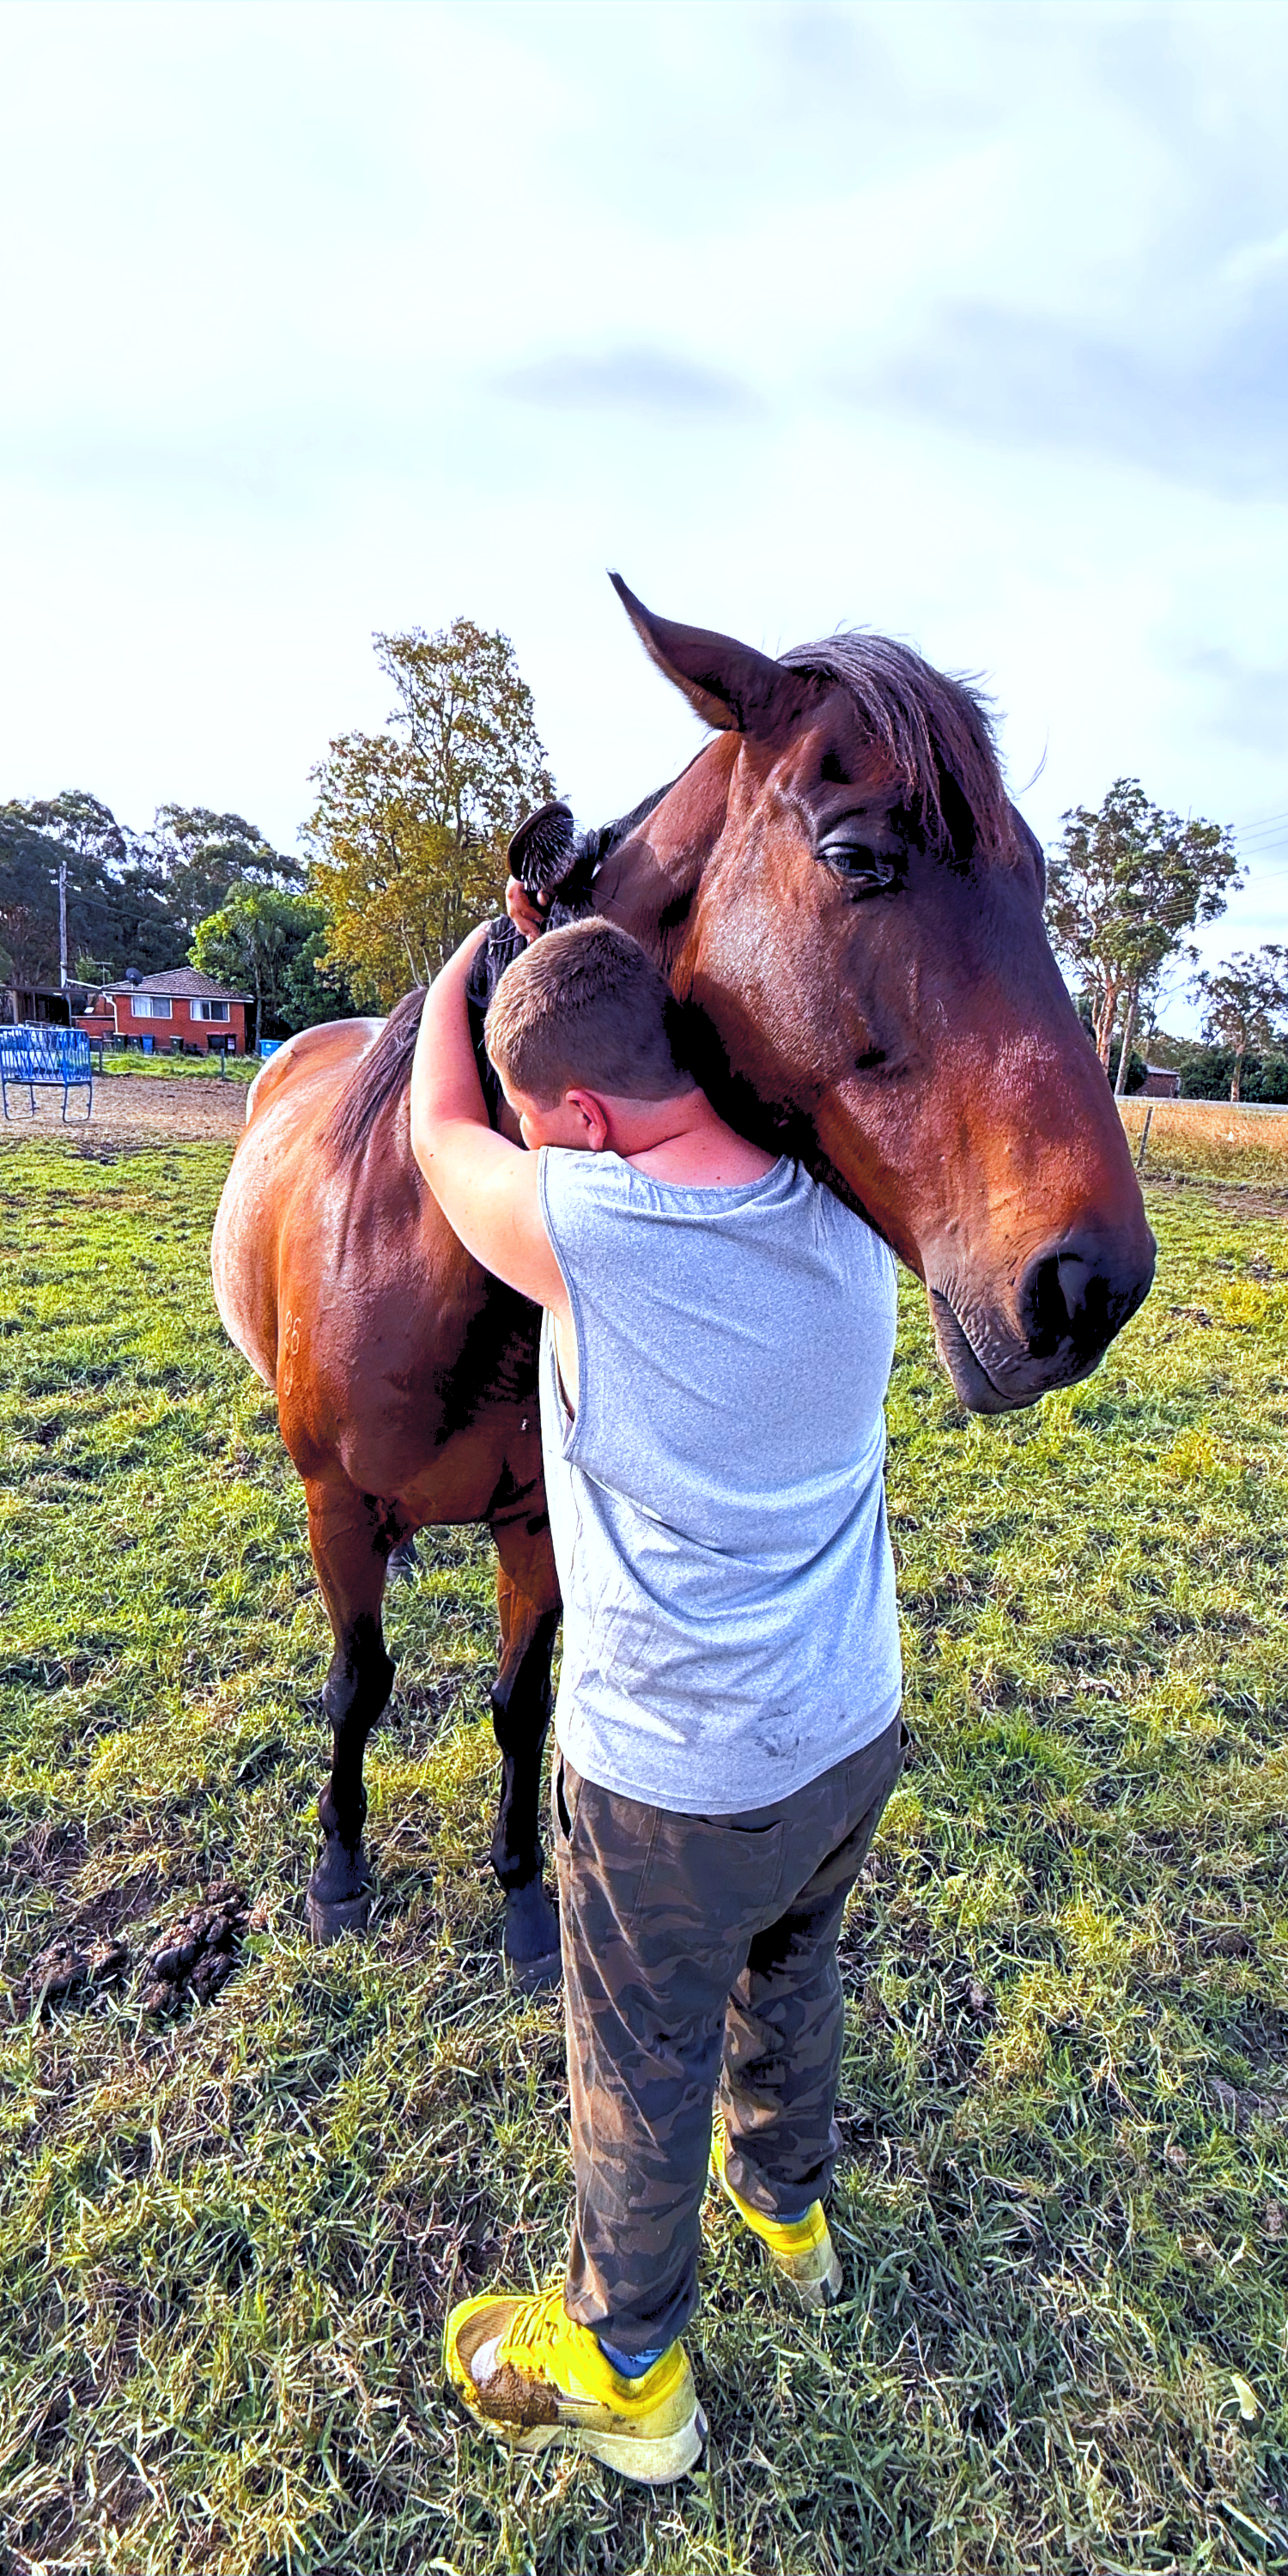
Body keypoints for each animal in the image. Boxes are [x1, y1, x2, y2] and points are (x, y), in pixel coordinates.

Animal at [210, 576, 1155, 1984]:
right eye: (858, 859)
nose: (1094, 1283)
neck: (434, 1264)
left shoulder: (539, 1528)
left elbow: (520, 1703)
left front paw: (524, 1902)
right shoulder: (336, 1510)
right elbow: (356, 1687)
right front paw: (337, 1877)